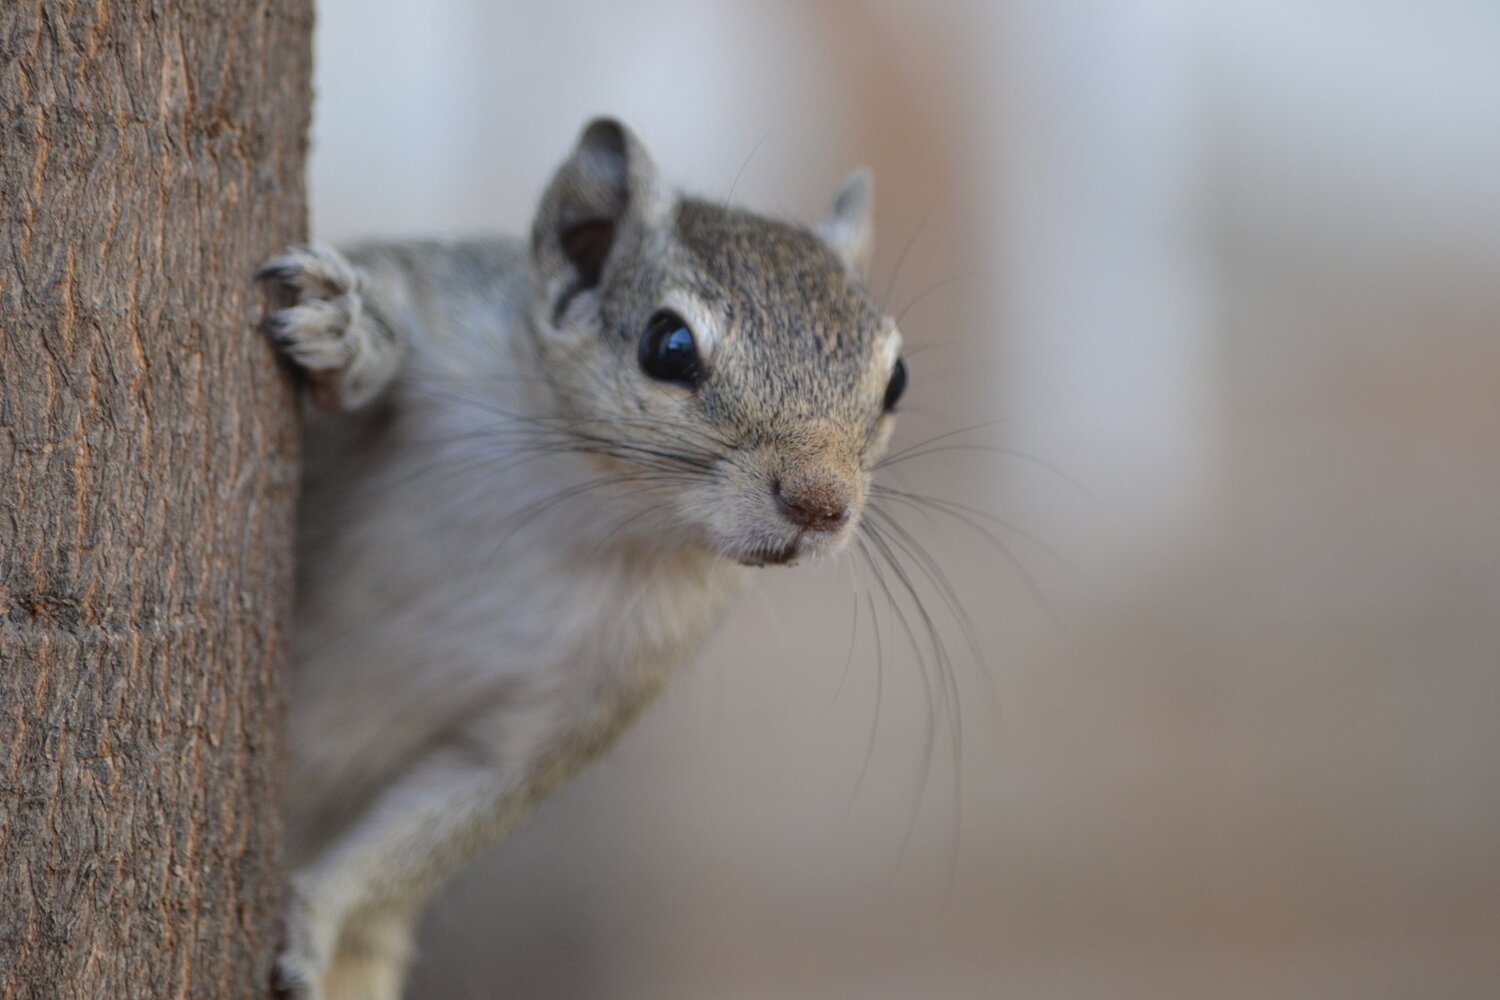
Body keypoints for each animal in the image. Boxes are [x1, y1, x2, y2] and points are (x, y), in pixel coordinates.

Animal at [257, 118, 907, 1000]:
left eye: (897, 380)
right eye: (668, 345)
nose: (820, 503)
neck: (589, 494)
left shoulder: (592, 697)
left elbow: (446, 815)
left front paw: (311, 924)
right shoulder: (452, 321)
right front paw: (349, 334)